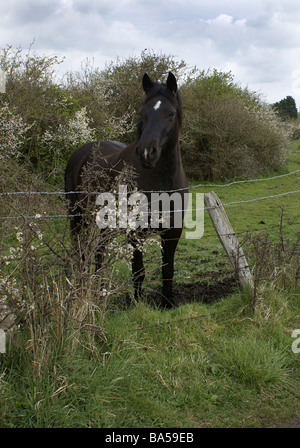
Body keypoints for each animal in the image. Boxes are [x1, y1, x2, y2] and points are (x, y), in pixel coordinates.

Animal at [65, 72, 188, 308]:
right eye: (142, 113)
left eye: (170, 113)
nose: (147, 152)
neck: (162, 181)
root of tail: (80, 152)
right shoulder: (135, 232)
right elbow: (138, 271)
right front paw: (138, 305)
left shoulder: (173, 232)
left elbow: (168, 269)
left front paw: (167, 304)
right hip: (78, 218)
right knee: (80, 252)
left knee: (100, 252)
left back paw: (100, 291)